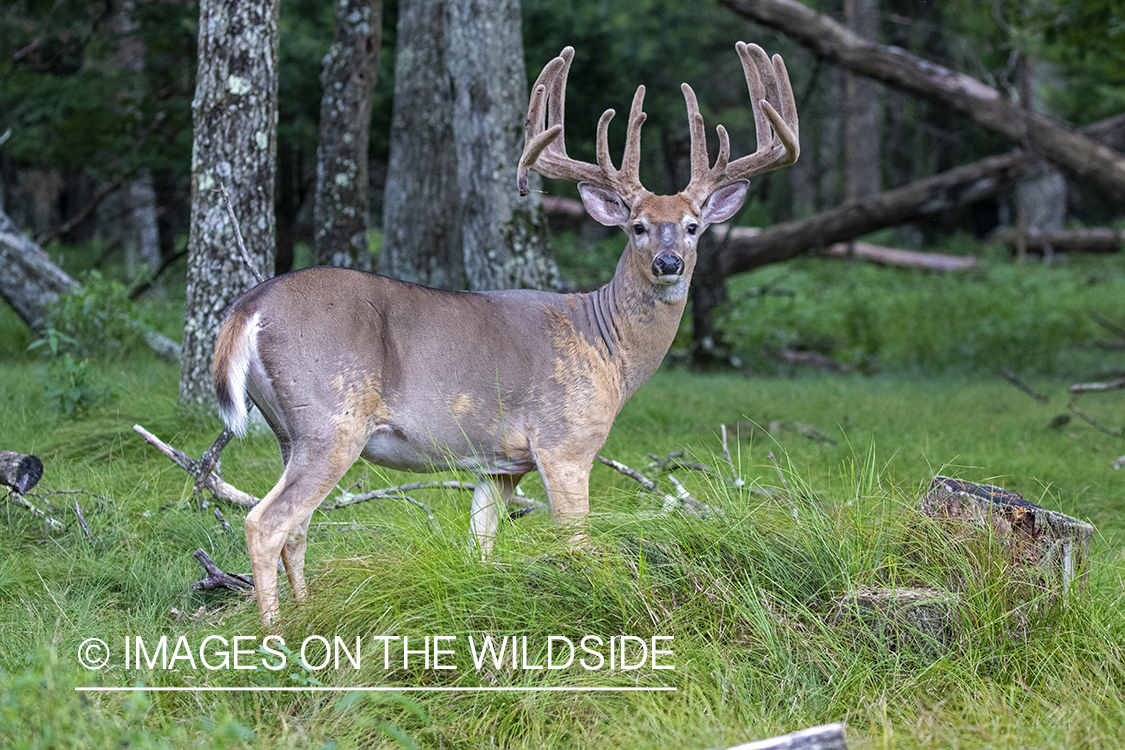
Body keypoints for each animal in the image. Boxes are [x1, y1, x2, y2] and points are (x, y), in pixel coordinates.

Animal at [209, 41, 792, 629]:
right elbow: (578, 545)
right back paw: (275, 634)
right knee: (266, 522)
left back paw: (306, 615)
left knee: (296, 528)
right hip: (332, 421)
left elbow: (480, 547)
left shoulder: (499, 464)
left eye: (693, 226)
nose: (668, 262)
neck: (608, 346)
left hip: (290, 429)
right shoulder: (564, 442)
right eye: (638, 226)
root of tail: (248, 308)